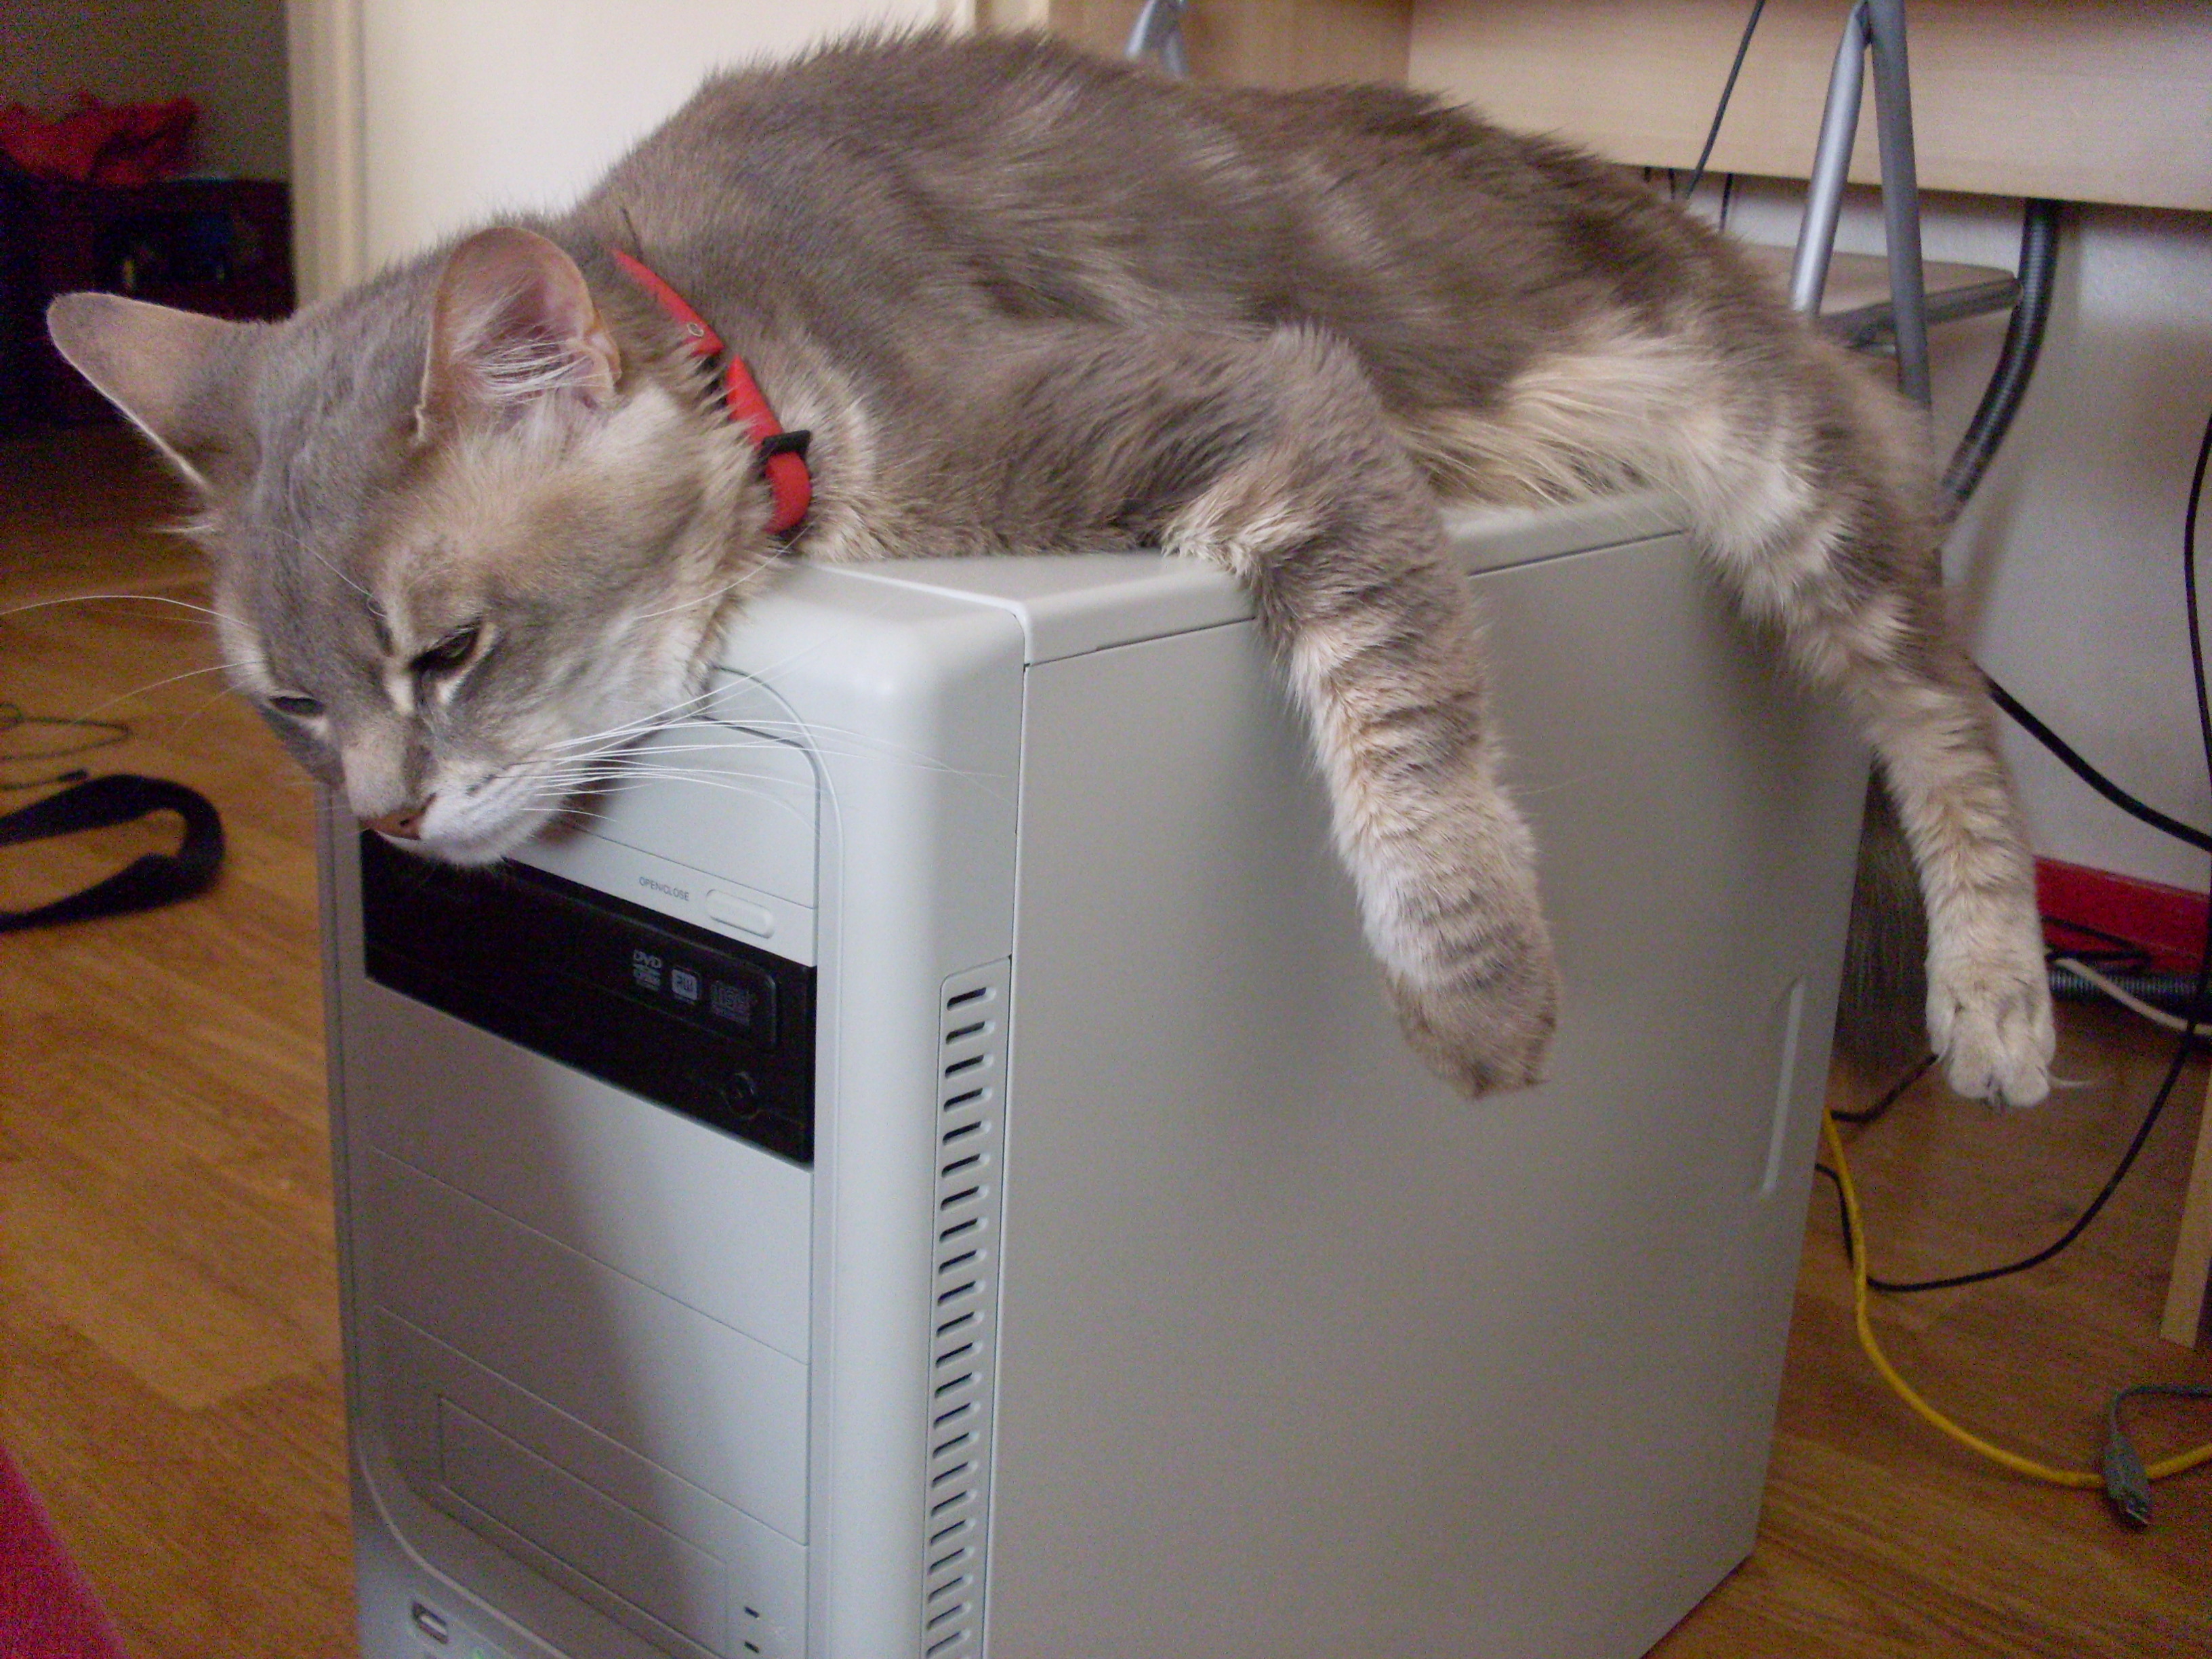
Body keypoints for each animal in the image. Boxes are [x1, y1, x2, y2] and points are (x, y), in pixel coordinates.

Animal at [45, 29, 2054, 1106]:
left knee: (1950, 716)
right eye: (293, 706)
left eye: (453, 649)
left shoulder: (1259, 392)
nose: (384, 818)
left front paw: (1475, 986)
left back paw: (1996, 996)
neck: (751, 351)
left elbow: (1405, 735)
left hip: (1789, 474)